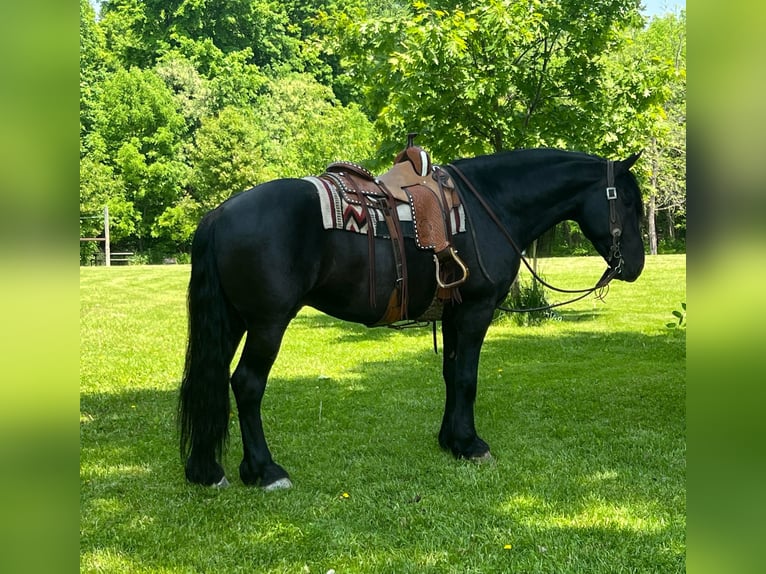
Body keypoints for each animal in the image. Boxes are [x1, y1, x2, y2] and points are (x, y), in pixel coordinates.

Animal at [177, 148, 644, 490]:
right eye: (630, 203)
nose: (636, 266)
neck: (489, 206)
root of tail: (220, 213)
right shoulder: (475, 312)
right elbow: (467, 378)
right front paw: (471, 445)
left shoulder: (454, 315)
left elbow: (451, 375)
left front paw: (450, 441)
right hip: (268, 323)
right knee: (247, 384)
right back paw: (264, 471)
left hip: (233, 320)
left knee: (210, 379)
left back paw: (207, 470)